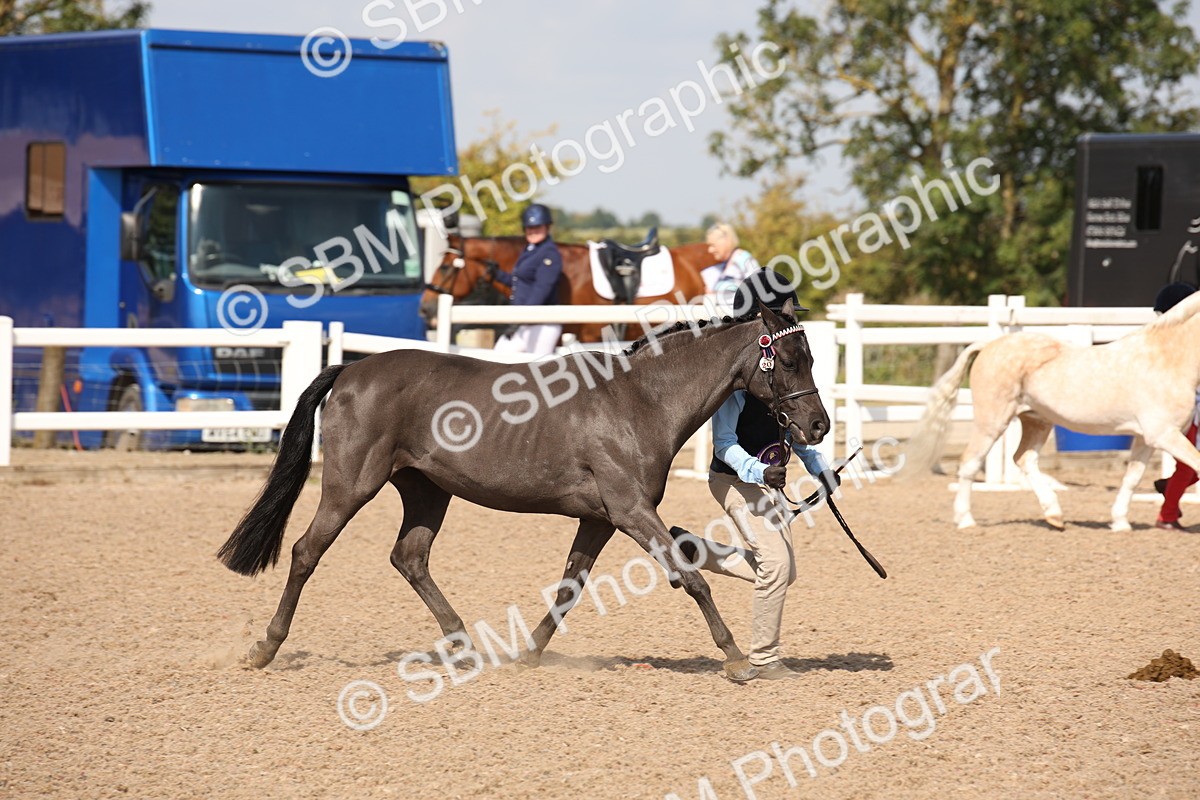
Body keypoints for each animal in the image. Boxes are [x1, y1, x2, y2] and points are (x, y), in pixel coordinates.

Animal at [216, 298, 829, 682]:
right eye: (789, 359)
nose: (819, 426)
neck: (640, 400)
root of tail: (348, 371)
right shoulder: (631, 511)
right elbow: (694, 579)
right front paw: (735, 658)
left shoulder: (600, 518)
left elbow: (570, 588)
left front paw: (528, 655)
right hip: (351, 484)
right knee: (306, 552)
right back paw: (264, 648)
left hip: (427, 492)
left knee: (409, 558)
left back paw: (465, 648)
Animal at [906, 291, 1200, 531]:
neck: (1166, 359)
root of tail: (989, 346)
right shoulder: (1164, 435)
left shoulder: (1146, 438)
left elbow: (1132, 478)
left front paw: (1120, 523)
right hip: (993, 421)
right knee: (970, 462)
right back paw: (965, 520)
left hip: (1036, 421)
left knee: (1024, 459)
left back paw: (1054, 515)